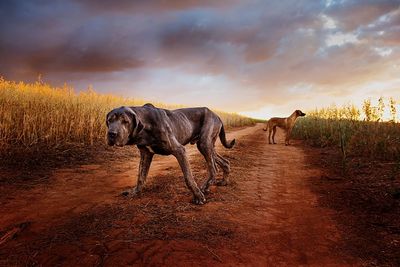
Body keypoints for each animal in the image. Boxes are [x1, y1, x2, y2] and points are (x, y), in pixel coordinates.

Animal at [108, 103, 236, 204]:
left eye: (125, 121)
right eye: (109, 120)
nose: (111, 134)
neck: (146, 125)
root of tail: (217, 115)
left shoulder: (179, 150)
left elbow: (188, 178)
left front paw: (198, 197)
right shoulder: (145, 153)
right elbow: (141, 176)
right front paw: (134, 192)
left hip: (204, 144)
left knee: (213, 168)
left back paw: (205, 187)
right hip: (207, 146)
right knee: (224, 162)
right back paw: (224, 181)